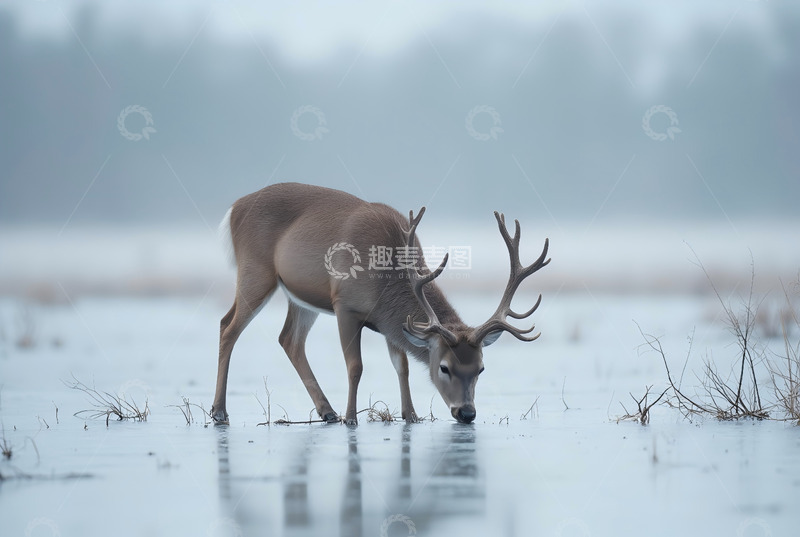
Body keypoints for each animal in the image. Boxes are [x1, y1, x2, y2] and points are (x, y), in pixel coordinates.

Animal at [211, 182, 550, 425]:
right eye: (444, 367)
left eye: (480, 368)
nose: (467, 413)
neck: (385, 283)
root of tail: (234, 208)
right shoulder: (345, 305)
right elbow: (355, 366)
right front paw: (351, 418)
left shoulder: (390, 324)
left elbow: (402, 366)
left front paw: (411, 415)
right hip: (255, 271)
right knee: (228, 326)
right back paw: (220, 412)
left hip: (299, 297)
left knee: (289, 339)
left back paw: (326, 411)